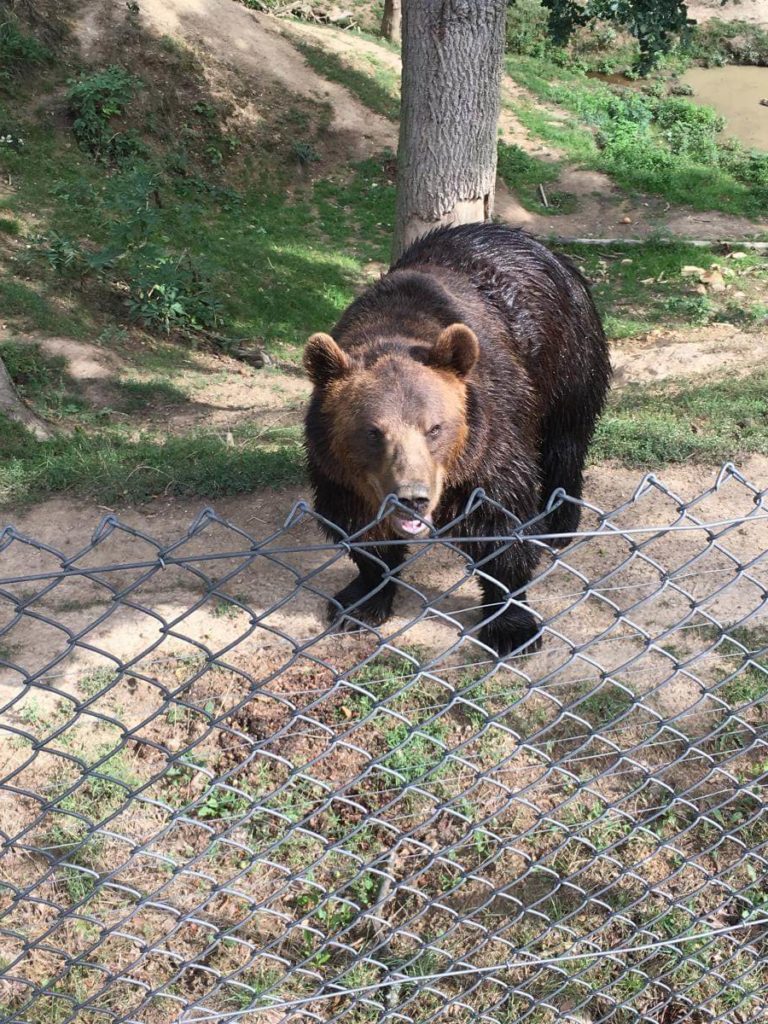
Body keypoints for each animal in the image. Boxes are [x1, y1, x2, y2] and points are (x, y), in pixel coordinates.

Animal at [303, 224, 610, 655]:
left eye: (434, 428)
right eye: (373, 431)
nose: (412, 497)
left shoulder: (490, 440)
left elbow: (499, 526)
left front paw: (511, 626)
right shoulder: (340, 473)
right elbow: (360, 530)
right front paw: (360, 601)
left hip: (566, 357)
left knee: (565, 441)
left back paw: (558, 519)